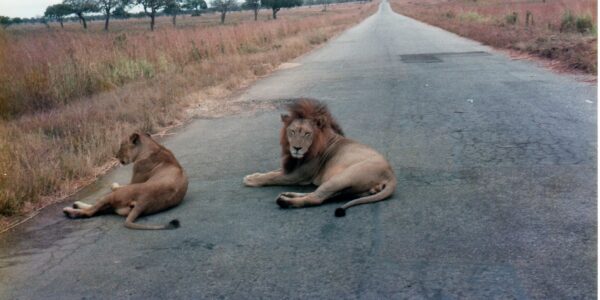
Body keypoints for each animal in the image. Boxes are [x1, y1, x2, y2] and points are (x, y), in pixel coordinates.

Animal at [241, 98, 396, 216]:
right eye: (292, 132)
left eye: (307, 134)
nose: (296, 148)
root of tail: (391, 176)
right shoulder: (292, 168)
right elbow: (273, 171)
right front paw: (253, 175)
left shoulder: (298, 175)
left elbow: (272, 177)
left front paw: (251, 180)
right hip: (351, 190)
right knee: (321, 194)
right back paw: (288, 194)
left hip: (341, 178)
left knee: (316, 198)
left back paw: (284, 201)